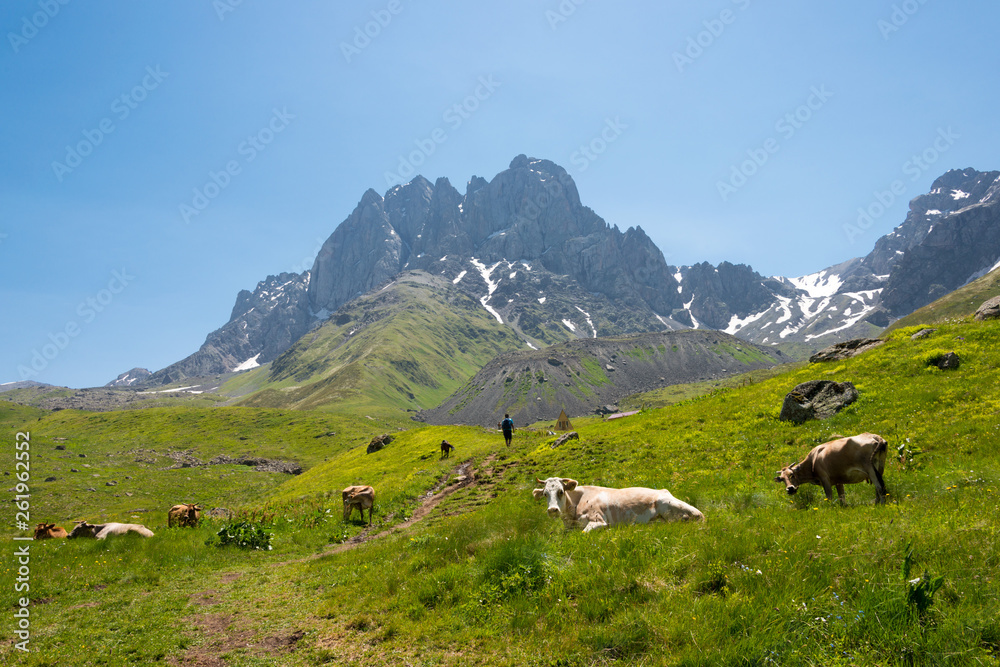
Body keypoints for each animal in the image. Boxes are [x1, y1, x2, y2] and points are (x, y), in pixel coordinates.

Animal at [532, 478, 704, 536]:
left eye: (561, 491)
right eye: (545, 494)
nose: (552, 510)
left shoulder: (598, 520)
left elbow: (583, 533)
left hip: (668, 506)